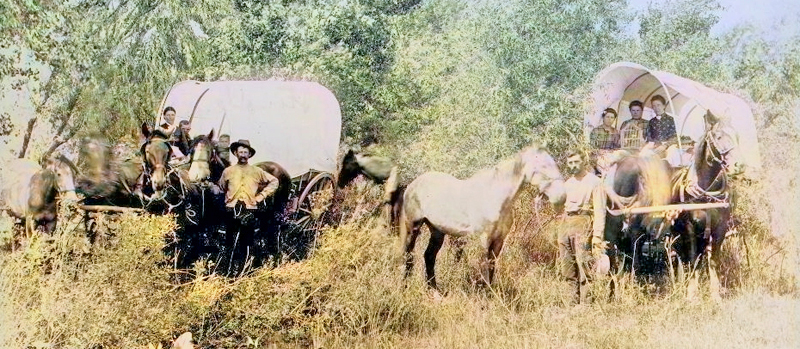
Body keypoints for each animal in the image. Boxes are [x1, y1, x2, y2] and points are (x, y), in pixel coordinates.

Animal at [396, 143, 564, 290]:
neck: (496, 197)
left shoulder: (498, 240)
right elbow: (484, 269)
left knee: (429, 256)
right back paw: (405, 286)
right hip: (413, 226)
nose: (561, 196)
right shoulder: (484, 239)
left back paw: (434, 290)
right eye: (542, 166)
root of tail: (413, 184)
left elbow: (492, 267)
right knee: (409, 255)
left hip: (437, 231)